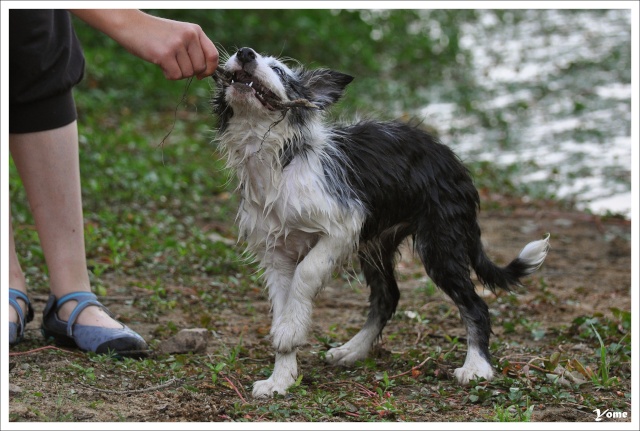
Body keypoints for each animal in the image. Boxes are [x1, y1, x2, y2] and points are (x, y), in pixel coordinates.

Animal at [211, 46, 552, 398]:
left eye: (278, 70)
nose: (245, 53)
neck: (279, 160)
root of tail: (452, 159)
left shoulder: (343, 225)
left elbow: (306, 273)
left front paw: (289, 335)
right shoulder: (277, 254)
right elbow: (283, 304)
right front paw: (280, 376)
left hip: (440, 242)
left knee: (475, 305)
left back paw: (476, 366)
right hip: (377, 244)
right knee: (387, 297)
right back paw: (352, 350)